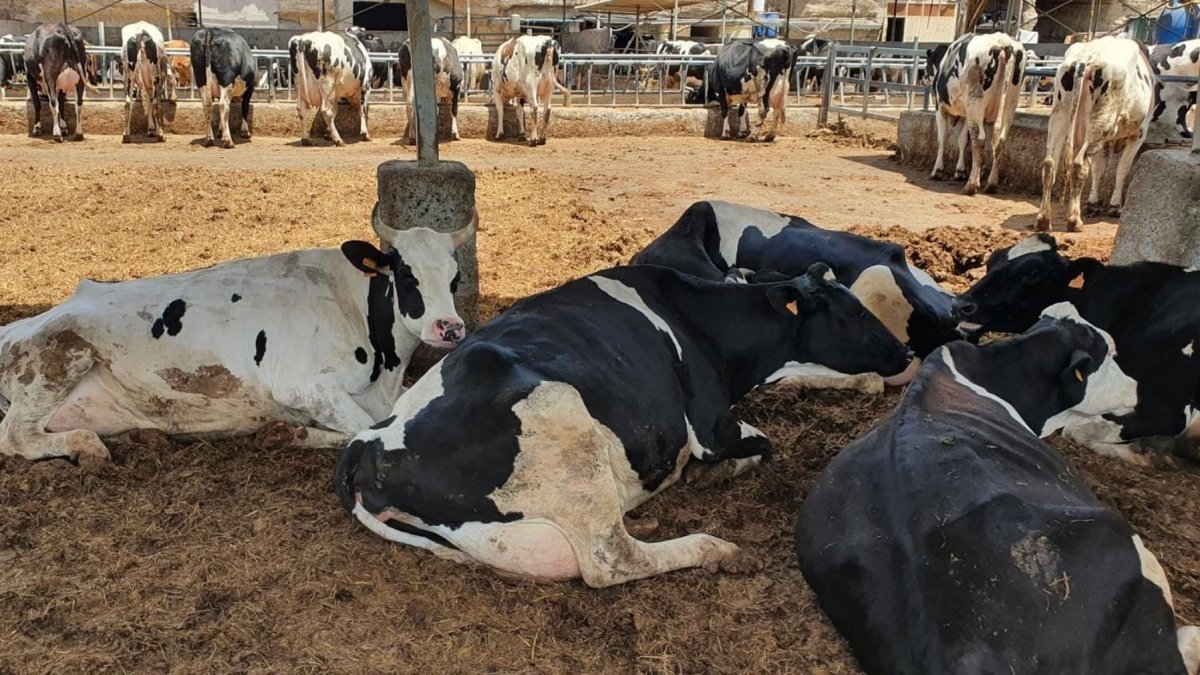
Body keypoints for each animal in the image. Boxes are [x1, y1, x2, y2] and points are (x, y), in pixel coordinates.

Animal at [0, 206, 475, 464]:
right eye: (407, 275)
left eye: (455, 278)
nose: (449, 327)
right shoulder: (301, 385)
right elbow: (364, 428)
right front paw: (295, 433)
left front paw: (290, 433)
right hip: (58, 352)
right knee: (16, 435)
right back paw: (89, 446)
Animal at [334, 263, 913, 587]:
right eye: (852, 313)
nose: (906, 351)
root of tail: (368, 445)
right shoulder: (712, 427)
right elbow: (764, 443)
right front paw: (717, 472)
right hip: (564, 422)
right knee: (610, 561)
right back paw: (715, 549)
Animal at [923, 33, 1026, 195]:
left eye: (927, 62)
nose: (922, 77)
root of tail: (1003, 43)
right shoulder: (967, 115)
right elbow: (962, 140)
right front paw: (960, 172)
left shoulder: (940, 108)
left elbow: (942, 138)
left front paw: (937, 171)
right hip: (1010, 105)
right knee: (1000, 140)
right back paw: (991, 184)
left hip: (975, 104)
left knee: (978, 139)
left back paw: (971, 185)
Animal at [952, 233, 1200, 465]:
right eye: (991, 262)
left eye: (1032, 273)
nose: (960, 305)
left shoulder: (1166, 409)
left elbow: (1075, 429)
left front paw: (1147, 453)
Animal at [1036, 36, 1155, 231]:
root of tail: (1088, 56)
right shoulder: (1138, 134)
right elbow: (1122, 170)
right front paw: (1115, 207)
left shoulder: (1105, 142)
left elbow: (1098, 170)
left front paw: (1094, 203)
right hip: (1100, 124)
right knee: (1079, 165)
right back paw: (1074, 220)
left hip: (1060, 115)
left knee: (1049, 165)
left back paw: (1044, 219)